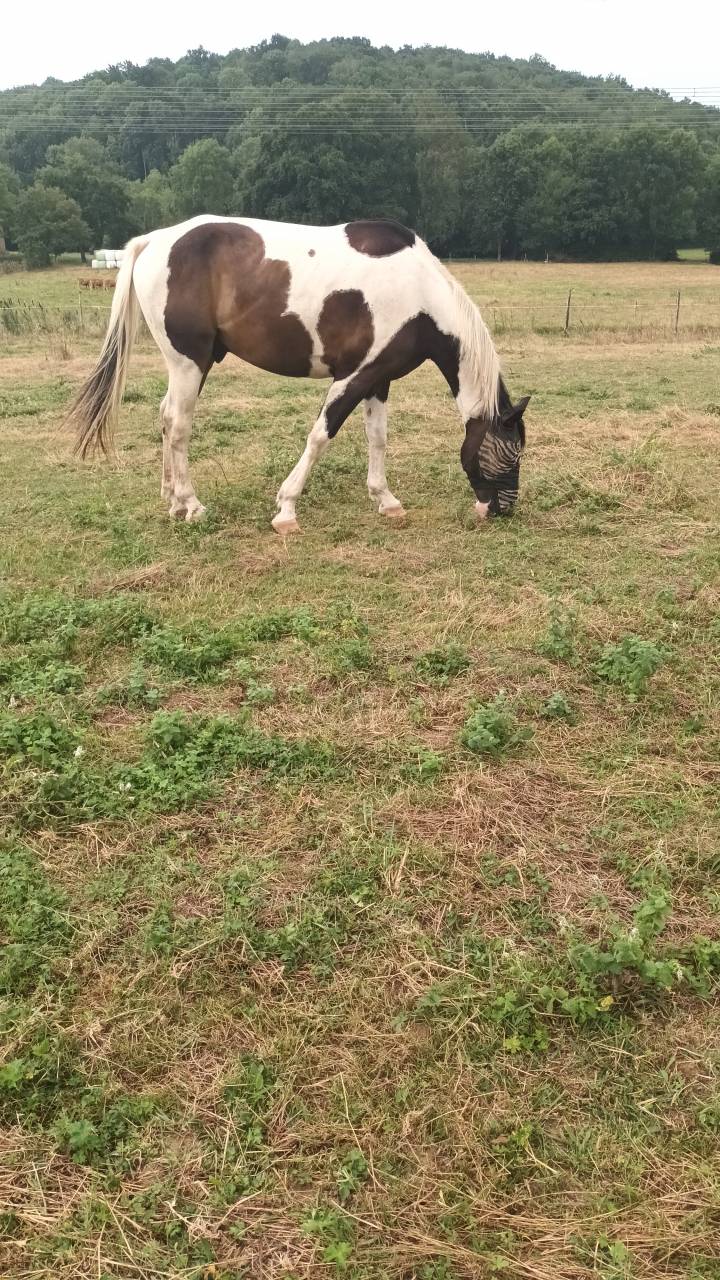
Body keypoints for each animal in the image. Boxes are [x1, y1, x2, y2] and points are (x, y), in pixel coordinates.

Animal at [67, 215, 530, 532]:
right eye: (511, 453)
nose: (503, 508)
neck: (419, 291)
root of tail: (154, 241)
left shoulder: (378, 379)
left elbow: (377, 438)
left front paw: (385, 499)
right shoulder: (354, 375)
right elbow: (321, 435)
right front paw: (287, 508)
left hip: (187, 365)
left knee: (165, 418)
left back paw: (172, 498)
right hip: (189, 362)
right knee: (178, 425)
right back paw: (191, 504)